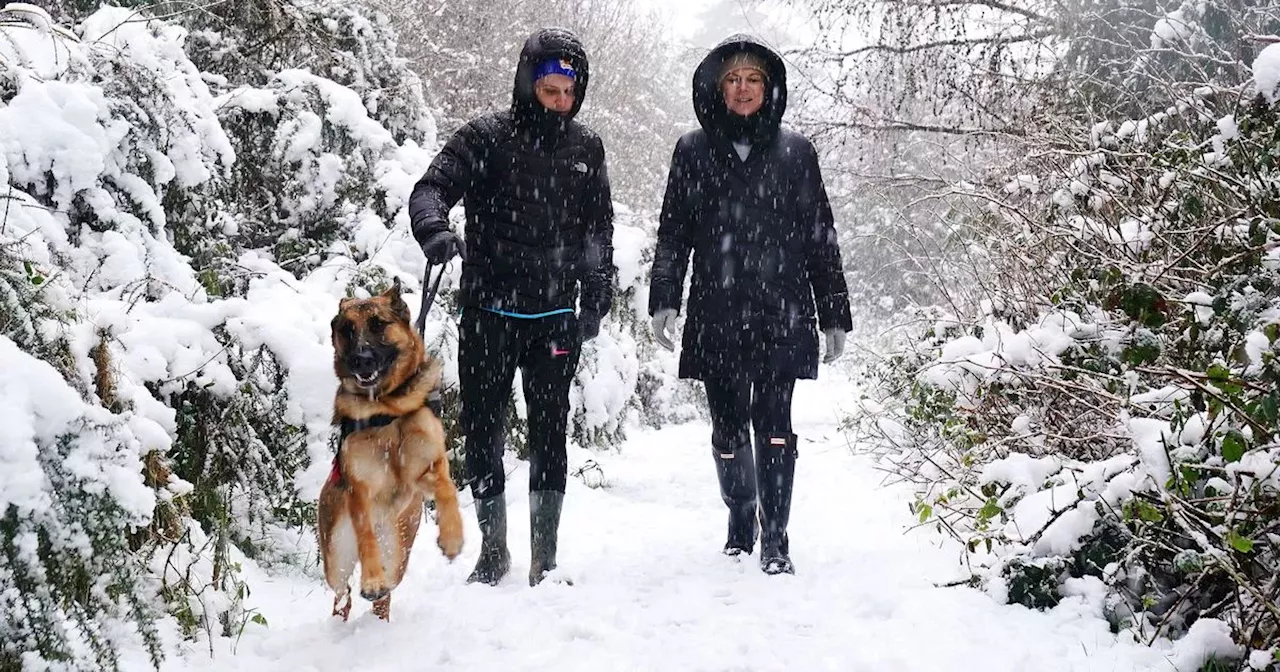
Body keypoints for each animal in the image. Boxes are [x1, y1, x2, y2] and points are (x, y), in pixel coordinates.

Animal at [317, 276, 463, 619]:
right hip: (336, 557)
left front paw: (452, 537)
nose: (360, 359)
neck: (388, 408)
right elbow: (366, 536)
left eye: (379, 324)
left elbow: (447, 488)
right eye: (347, 329)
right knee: (342, 591)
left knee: (386, 591)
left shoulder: (427, 468)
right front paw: (371, 581)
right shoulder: (360, 491)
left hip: (398, 555)